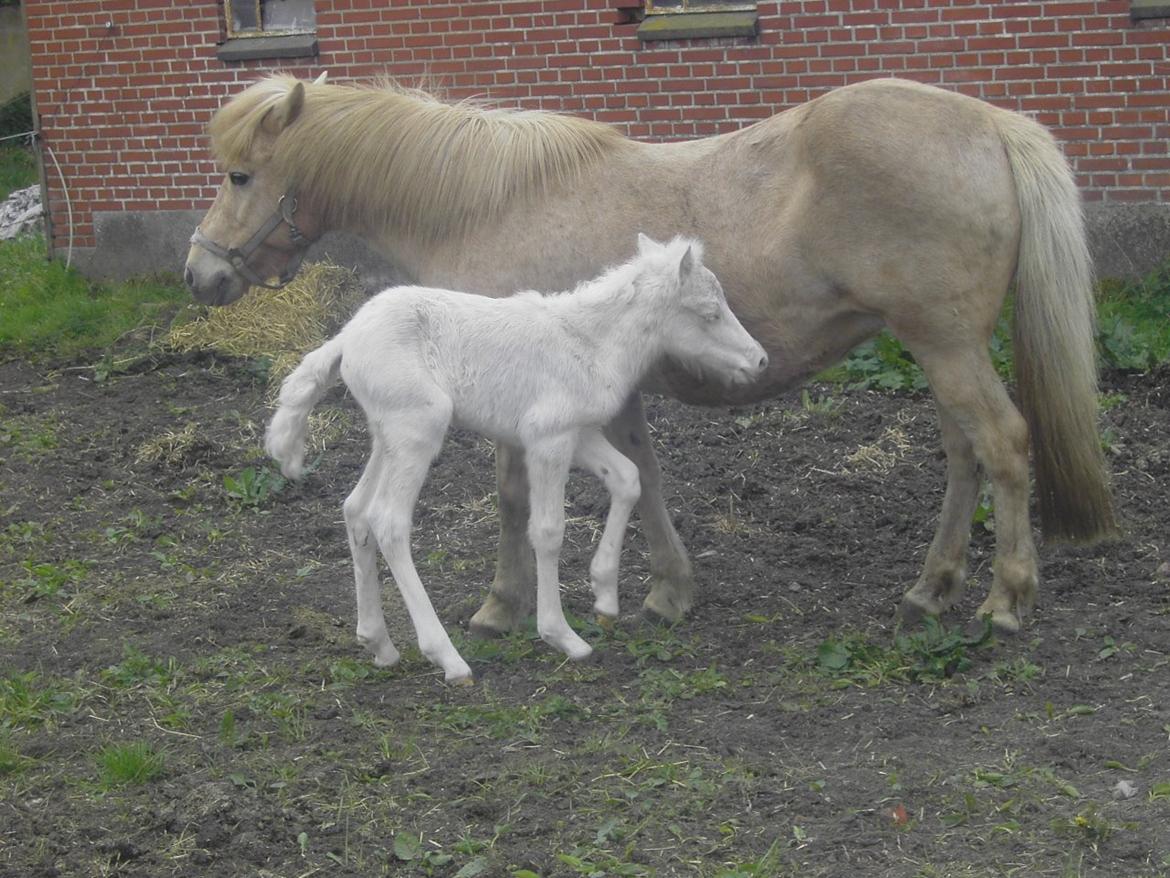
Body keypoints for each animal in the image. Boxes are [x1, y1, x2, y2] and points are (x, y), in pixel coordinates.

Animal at [184, 74, 1113, 632]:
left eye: (238, 175)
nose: (199, 272)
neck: (487, 202)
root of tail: (989, 123)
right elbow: (645, 477)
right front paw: (669, 588)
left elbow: (514, 497)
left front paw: (501, 604)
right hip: (936, 347)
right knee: (964, 453)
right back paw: (934, 584)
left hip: (946, 346)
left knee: (1004, 445)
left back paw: (1006, 596)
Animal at [265, 235, 767, 688]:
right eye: (710, 313)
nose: (760, 360)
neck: (589, 342)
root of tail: (346, 338)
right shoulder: (548, 438)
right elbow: (547, 531)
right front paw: (562, 635)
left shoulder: (579, 433)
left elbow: (627, 478)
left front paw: (605, 596)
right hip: (417, 429)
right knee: (388, 521)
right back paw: (448, 658)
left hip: (386, 434)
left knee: (355, 510)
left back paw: (379, 644)